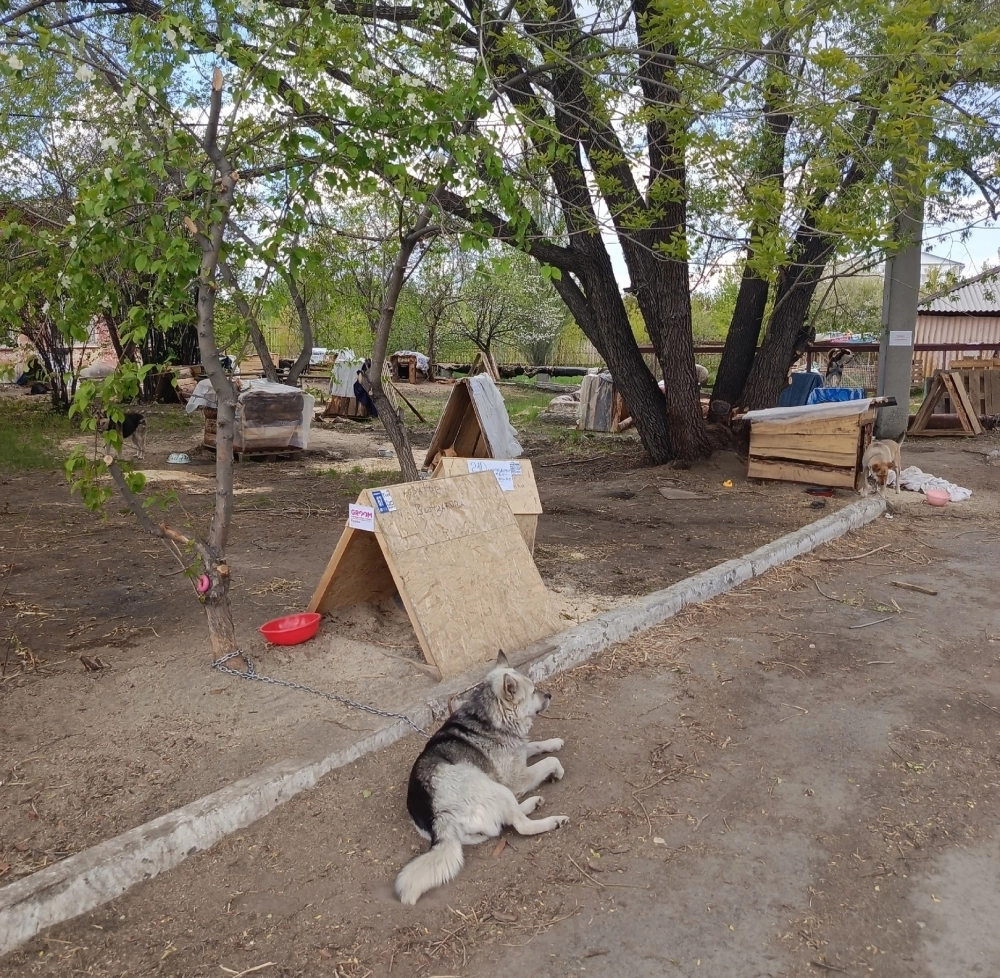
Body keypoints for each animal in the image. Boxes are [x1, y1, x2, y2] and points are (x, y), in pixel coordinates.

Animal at [396, 652, 572, 904]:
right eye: (533, 691)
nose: (549, 695)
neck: (490, 716)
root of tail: (437, 816)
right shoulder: (516, 778)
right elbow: (549, 761)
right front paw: (556, 771)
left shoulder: (517, 754)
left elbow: (534, 745)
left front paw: (554, 742)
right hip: (496, 789)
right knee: (521, 825)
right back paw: (553, 821)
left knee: (507, 818)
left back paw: (532, 804)